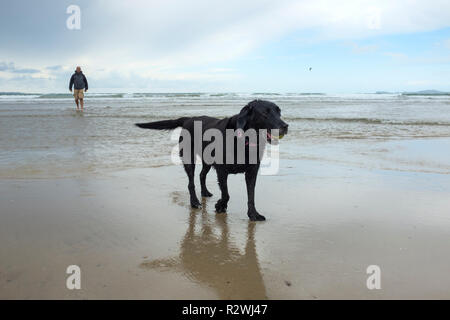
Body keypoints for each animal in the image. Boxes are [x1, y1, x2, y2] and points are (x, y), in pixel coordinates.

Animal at [135, 99, 288, 220]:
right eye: (265, 113)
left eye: (279, 112)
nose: (285, 126)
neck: (244, 139)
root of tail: (188, 119)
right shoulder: (222, 171)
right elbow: (226, 194)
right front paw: (220, 205)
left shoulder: (251, 172)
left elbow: (251, 195)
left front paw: (253, 214)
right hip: (189, 158)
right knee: (191, 182)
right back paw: (195, 202)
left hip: (207, 161)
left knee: (201, 175)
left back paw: (205, 192)